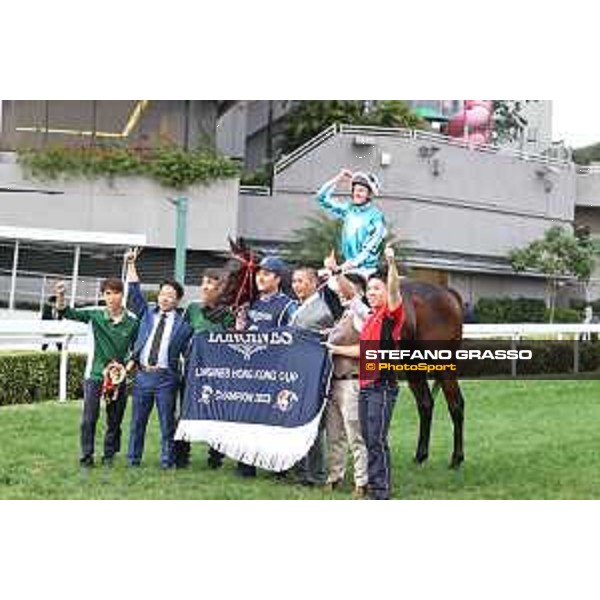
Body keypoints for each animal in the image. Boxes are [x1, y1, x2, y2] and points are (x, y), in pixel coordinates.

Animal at [224, 238, 464, 468]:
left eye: (235, 271)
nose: (214, 303)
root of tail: (448, 294)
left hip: (442, 364)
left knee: (456, 404)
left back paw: (456, 458)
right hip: (412, 365)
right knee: (425, 403)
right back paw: (420, 455)